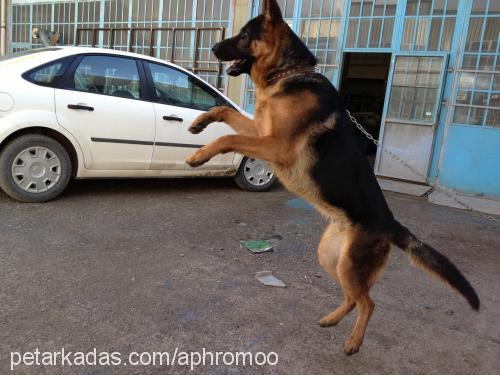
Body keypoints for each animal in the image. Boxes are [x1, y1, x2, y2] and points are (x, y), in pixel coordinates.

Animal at [185, 0, 480, 356]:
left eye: (243, 35)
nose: (213, 47)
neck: (289, 74)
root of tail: (392, 224)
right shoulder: (261, 130)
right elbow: (227, 113)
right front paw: (200, 122)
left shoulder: (276, 145)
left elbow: (228, 137)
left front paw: (200, 155)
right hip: (332, 260)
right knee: (354, 298)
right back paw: (331, 320)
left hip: (349, 266)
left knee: (368, 302)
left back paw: (353, 342)